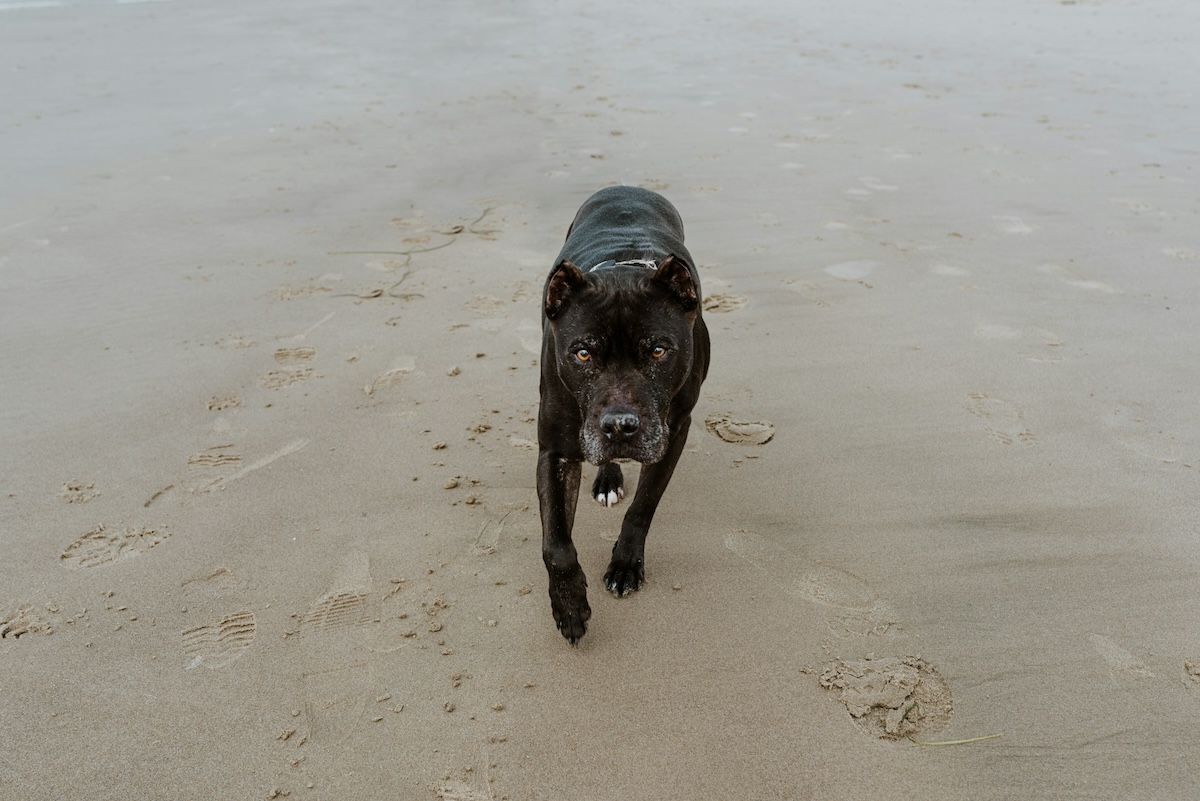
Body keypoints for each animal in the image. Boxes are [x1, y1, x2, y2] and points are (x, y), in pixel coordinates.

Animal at [540, 188, 705, 642]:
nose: (620, 426)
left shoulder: (673, 434)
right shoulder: (556, 450)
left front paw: (626, 565)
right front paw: (569, 605)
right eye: (582, 353)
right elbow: (556, 543)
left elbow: (643, 507)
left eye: (659, 350)